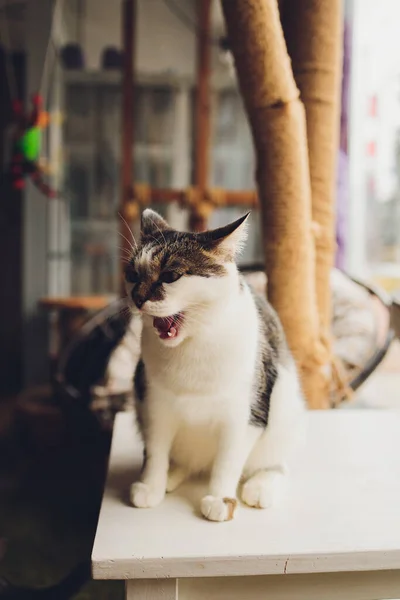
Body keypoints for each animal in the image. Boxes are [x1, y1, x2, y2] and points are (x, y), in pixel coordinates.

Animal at [126, 210, 306, 520]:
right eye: (132, 275)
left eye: (170, 275)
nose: (137, 298)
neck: (193, 346)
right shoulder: (154, 405)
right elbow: (156, 452)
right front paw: (150, 487)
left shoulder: (244, 415)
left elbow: (228, 462)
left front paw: (220, 499)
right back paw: (173, 474)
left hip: (284, 410)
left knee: (276, 465)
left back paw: (260, 486)